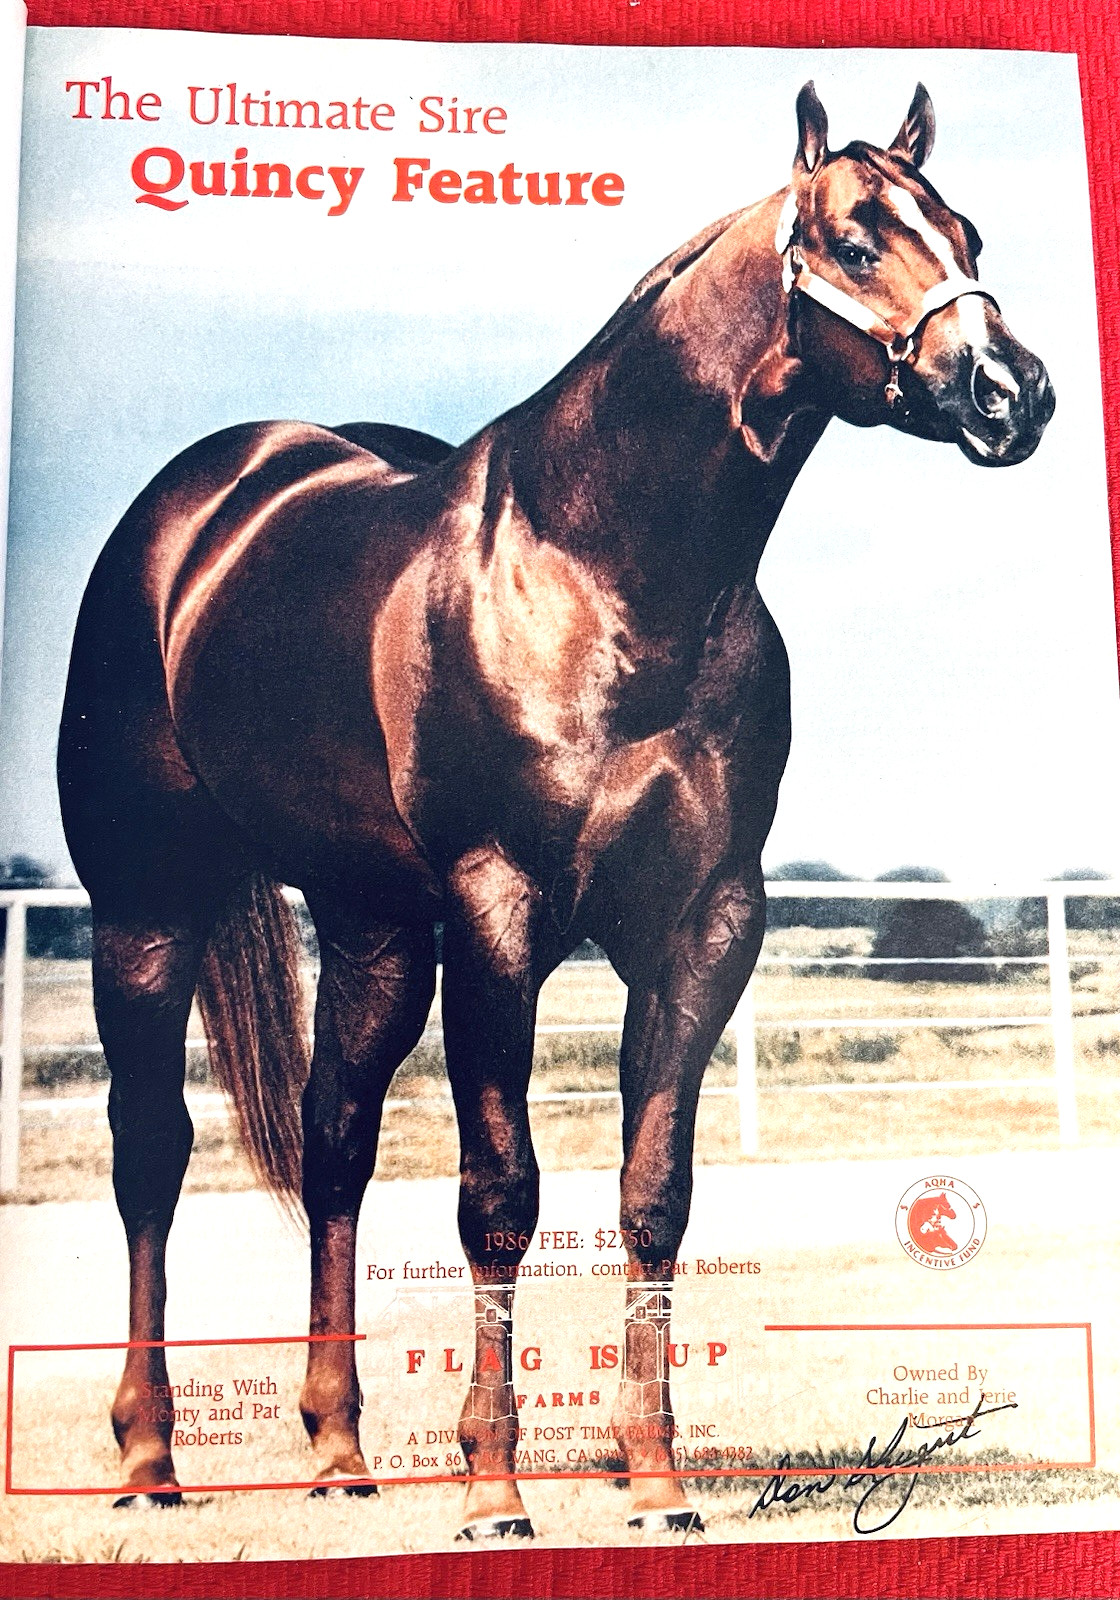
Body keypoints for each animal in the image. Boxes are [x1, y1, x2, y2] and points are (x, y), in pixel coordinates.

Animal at [57, 80, 1054, 1538]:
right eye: (857, 240)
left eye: (966, 232)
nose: (1011, 392)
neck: (602, 571)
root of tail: (196, 511)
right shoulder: (500, 917)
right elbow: (498, 1195)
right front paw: (492, 1488)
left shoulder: (705, 926)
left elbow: (652, 1194)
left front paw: (655, 1481)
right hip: (145, 907)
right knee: (151, 1153)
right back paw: (147, 1460)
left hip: (370, 931)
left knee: (335, 1145)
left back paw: (341, 1451)